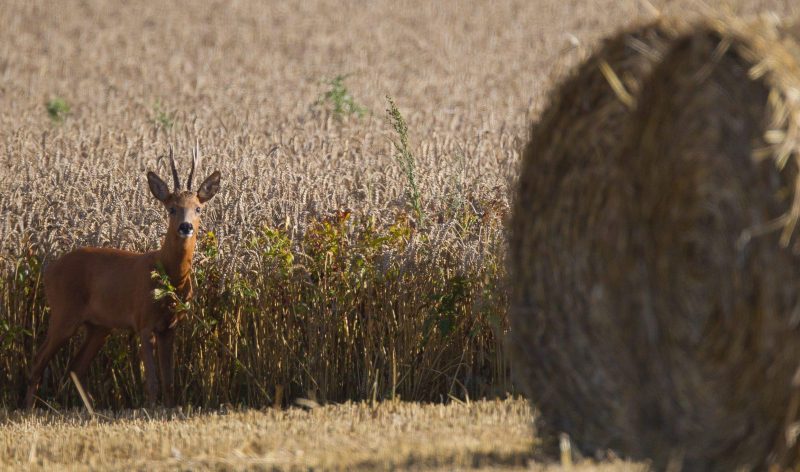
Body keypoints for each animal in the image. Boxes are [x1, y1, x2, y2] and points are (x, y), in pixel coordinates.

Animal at [24, 148, 220, 410]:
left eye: (198, 208)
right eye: (171, 208)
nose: (186, 226)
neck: (168, 276)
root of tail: (48, 270)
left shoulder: (170, 327)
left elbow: (169, 380)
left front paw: (168, 409)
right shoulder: (143, 320)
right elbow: (152, 381)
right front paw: (150, 410)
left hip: (99, 326)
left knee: (76, 366)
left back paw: (93, 410)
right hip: (64, 312)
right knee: (39, 359)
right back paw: (29, 408)